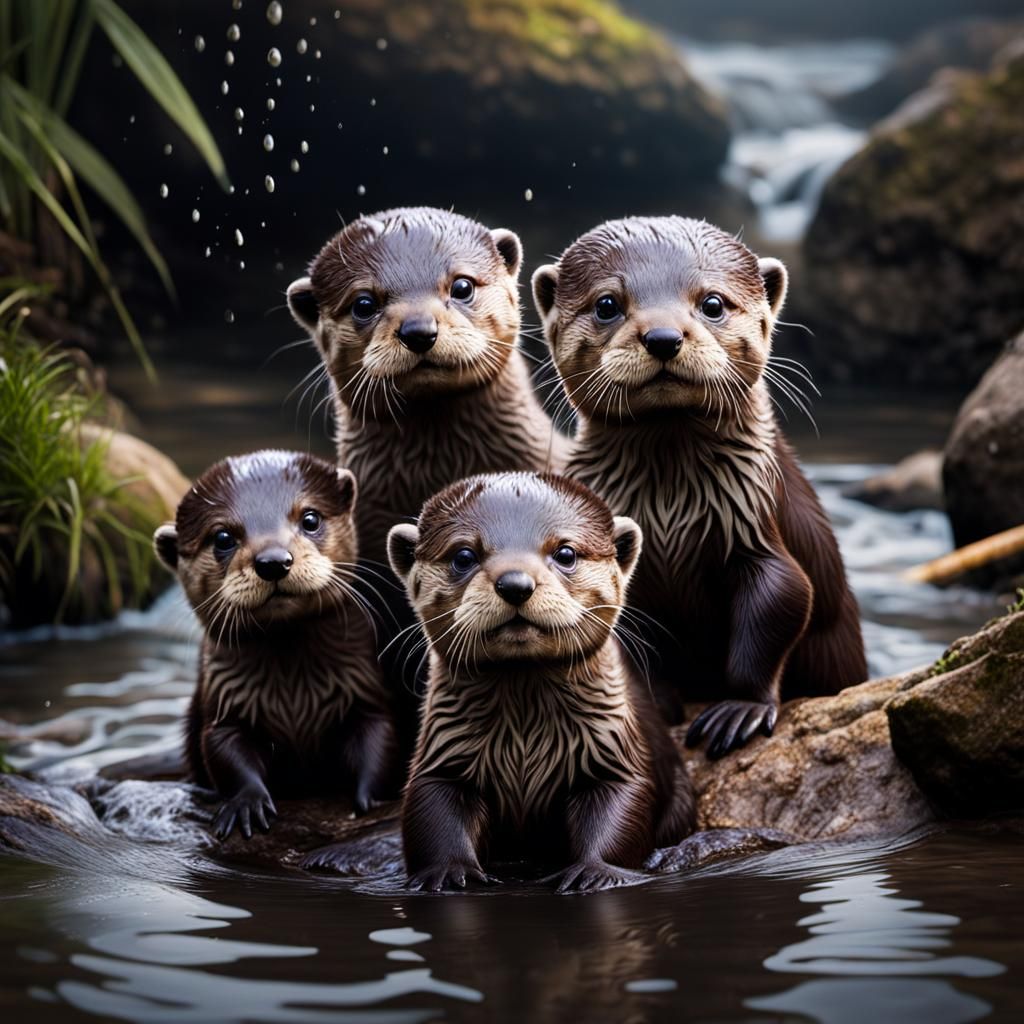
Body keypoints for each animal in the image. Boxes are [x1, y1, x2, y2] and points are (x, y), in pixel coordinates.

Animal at [153, 450, 399, 839]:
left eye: (310, 518)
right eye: (222, 537)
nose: (273, 560)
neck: (294, 698)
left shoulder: (366, 693)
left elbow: (378, 740)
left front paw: (370, 799)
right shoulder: (224, 705)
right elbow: (225, 754)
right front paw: (246, 804)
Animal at [387, 472, 696, 893]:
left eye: (565, 553)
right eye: (463, 556)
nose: (515, 583)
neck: (525, 740)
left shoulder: (614, 752)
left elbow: (621, 807)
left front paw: (593, 871)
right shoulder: (443, 756)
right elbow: (432, 811)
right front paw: (448, 872)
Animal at [531, 217, 866, 759]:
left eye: (712, 302)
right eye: (607, 304)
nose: (663, 336)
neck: (670, 510)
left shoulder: (752, 523)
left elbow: (784, 599)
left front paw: (741, 709)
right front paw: (652, 705)